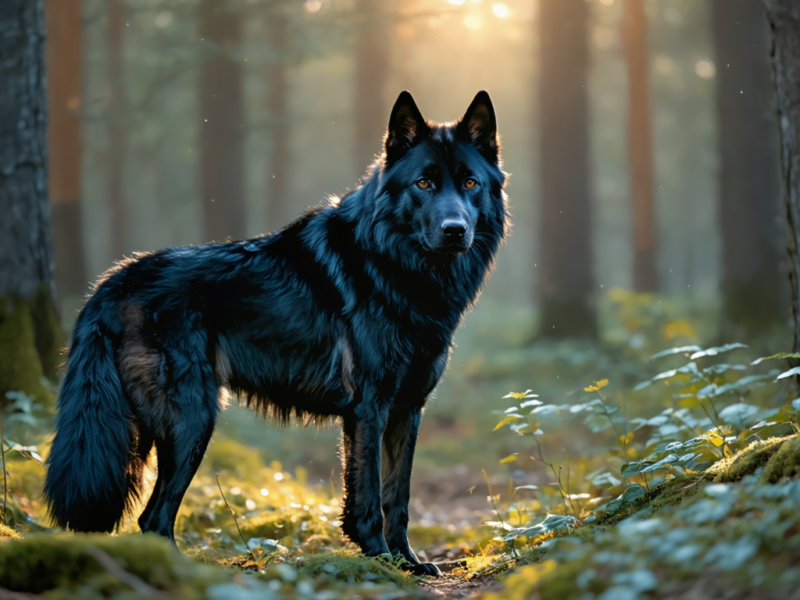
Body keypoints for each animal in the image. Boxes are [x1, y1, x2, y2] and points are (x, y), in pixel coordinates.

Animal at [43, 90, 508, 576]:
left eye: (470, 183)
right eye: (423, 184)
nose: (455, 230)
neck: (400, 267)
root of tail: (109, 283)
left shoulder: (407, 410)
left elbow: (397, 496)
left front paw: (407, 561)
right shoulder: (369, 408)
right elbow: (368, 500)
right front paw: (380, 559)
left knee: (149, 516)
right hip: (193, 422)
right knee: (154, 516)